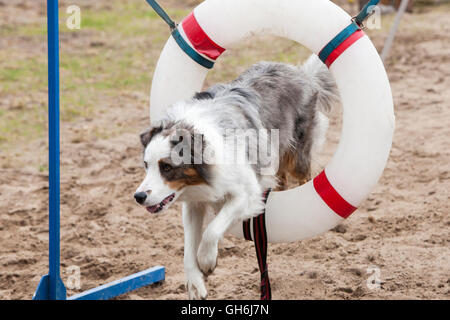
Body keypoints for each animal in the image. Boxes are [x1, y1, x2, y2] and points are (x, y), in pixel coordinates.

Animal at [135, 55, 340, 300]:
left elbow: (212, 230)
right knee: (280, 177)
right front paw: (195, 285)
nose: (138, 197)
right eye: (146, 165)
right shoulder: (194, 203)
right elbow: (188, 248)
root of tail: (300, 72)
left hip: (297, 153)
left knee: (302, 177)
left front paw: (207, 261)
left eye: (166, 167)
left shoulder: (247, 193)